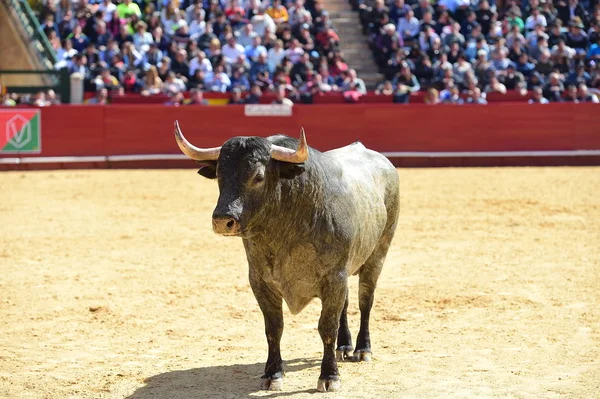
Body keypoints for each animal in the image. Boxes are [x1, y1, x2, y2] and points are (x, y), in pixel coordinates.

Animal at [173, 120, 398, 392]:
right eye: (220, 175)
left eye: (258, 176)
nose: (222, 220)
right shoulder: (260, 281)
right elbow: (274, 328)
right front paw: (273, 374)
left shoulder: (334, 277)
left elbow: (327, 327)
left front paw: (329, 376)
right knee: (345, 305)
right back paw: (344, 347)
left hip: (378, 254)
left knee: (365, 301)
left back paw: (362, 349)